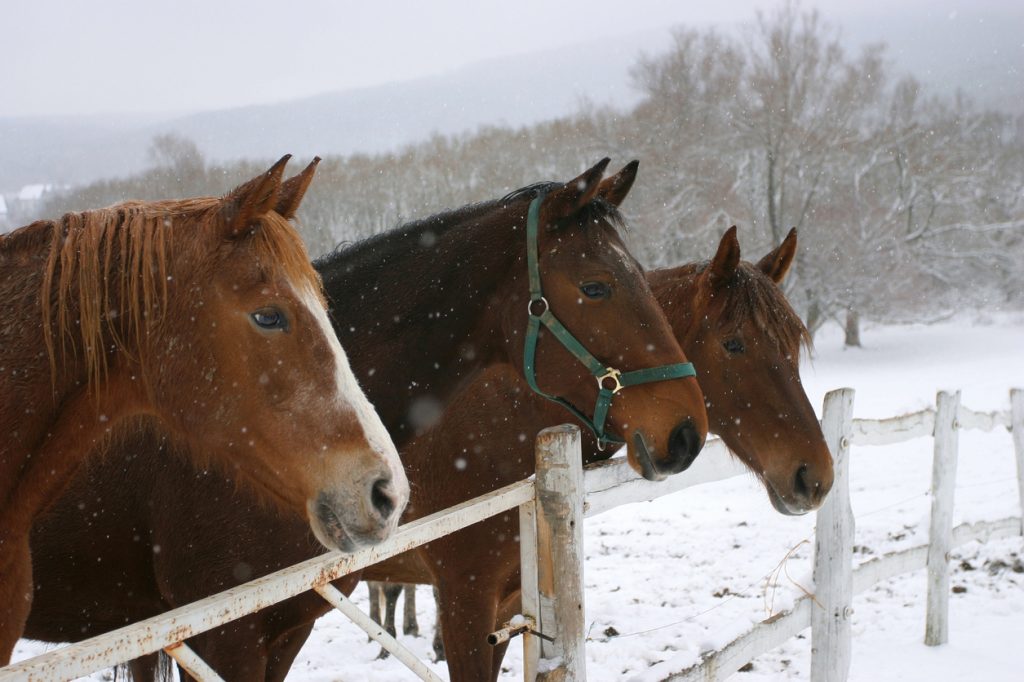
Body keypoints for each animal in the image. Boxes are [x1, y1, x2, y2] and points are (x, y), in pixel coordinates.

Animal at [358, 226, 834, 681]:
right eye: (734, 344)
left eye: (794, 346)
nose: (816, 476)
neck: (495, 422)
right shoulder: (464, 602)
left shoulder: (504, 607)